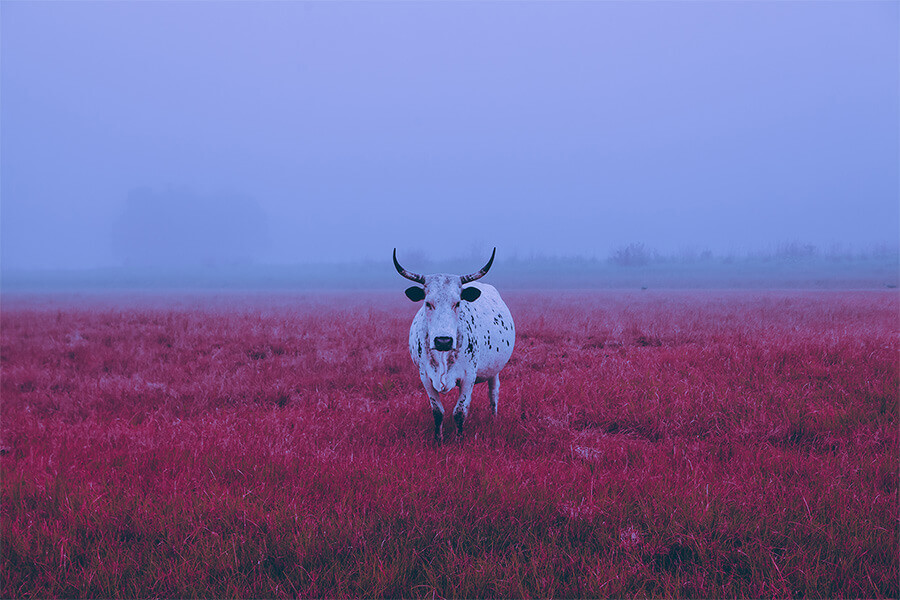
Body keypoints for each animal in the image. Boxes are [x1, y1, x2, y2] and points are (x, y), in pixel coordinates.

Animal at [393, 248, 515, 444]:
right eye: (428, 303)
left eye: (457, 303)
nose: (443, 340)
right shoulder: (425, 377)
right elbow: (438, 412)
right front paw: (438, 439)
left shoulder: (469, 377)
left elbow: (460, 412)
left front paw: (459, 440)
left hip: (495, 370)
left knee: (493, 393)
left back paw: (494, 419)